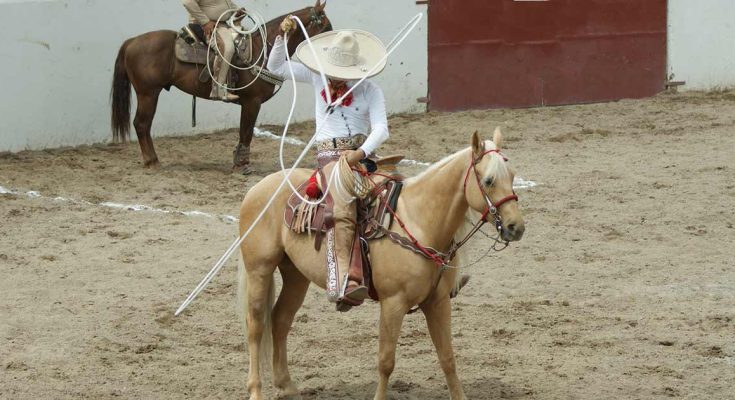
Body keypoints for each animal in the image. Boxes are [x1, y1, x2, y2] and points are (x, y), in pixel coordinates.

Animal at [110, 1, 334, 173]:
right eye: (325, 29)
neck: (262, 50)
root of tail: (131, 41)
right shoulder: (252, 102)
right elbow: (246, 132)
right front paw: (241, 165)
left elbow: (245, 132)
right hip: (148, 93)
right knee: (141, 124)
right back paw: (152, 161)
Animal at [236, 130, 524, 398]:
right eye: (488, 180)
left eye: (512, 176)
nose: (516, 227)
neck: (420, 222)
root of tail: (257, 188)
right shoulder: (393, 303)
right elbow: (386, 361)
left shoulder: (438, 302)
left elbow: (447, 358)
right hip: (259, 270)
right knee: (256, 325)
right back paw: (256, 390)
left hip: (296, 275)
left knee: (280, 319)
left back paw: (286, 385)